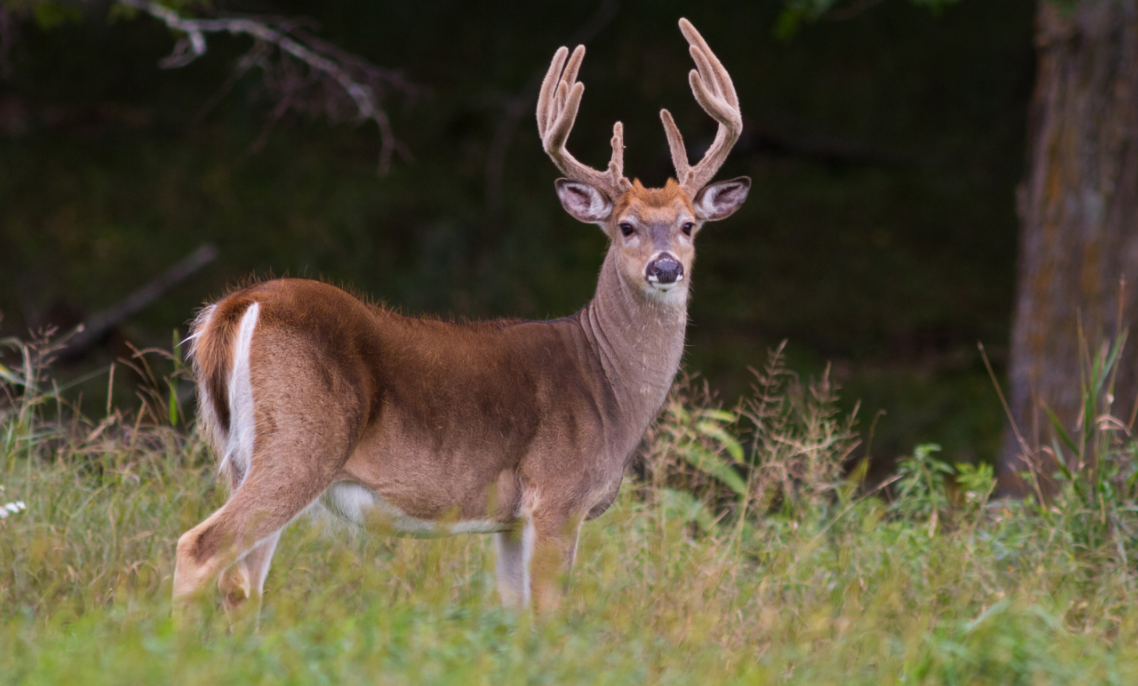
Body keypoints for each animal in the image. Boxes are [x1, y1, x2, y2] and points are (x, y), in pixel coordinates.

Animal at [174, 18, 749, 619]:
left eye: (688, 225)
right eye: (626, 226)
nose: (666, 267)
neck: (608, 386)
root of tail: (239, 304)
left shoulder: (510, 520)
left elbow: (515, 615)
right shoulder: (557, 494)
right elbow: (549, 616)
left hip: (243, 455)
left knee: (241, 582)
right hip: (301, 442)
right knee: (200, 548)